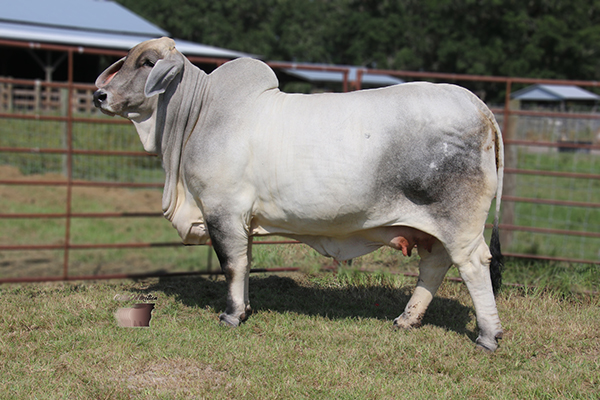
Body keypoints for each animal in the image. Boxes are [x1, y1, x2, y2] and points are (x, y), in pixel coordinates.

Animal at [95, 36, 506, 350]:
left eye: (147, 63)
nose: (99, 95)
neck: (197, 114)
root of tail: (479, 106)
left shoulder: (223, 209)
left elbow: (232, 264)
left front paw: (231, 315)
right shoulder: (242, 218)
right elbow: (246, 261)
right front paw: (245, 308)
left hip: (459, 220)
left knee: (473, 265)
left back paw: (488, 336)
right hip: (435, 225)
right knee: (435, 265)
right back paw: (407, 319)